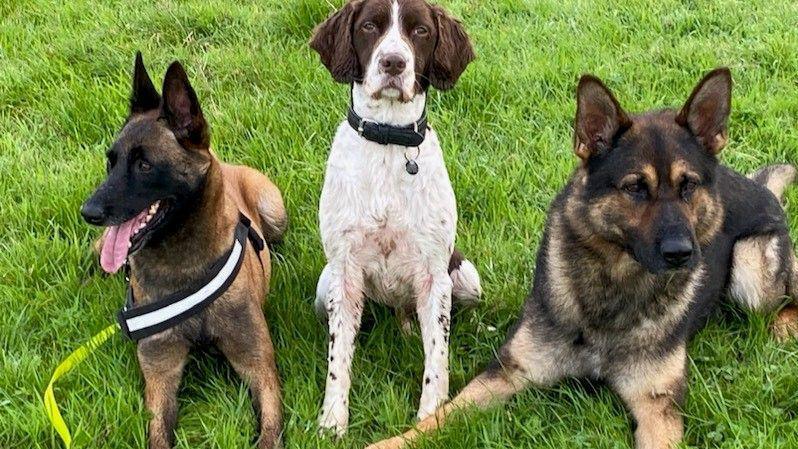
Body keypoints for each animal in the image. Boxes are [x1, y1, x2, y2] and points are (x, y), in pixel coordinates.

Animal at [310, 0, 482, 434]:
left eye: (420, 31)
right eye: (370, 26)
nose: (393, 62)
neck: (389, 142)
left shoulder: (435, 277)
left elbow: (437, 355)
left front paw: (431, 418)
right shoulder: (345, 274)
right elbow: (338, 360)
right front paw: (332, 421)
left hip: (466, 277)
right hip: (325, 286)